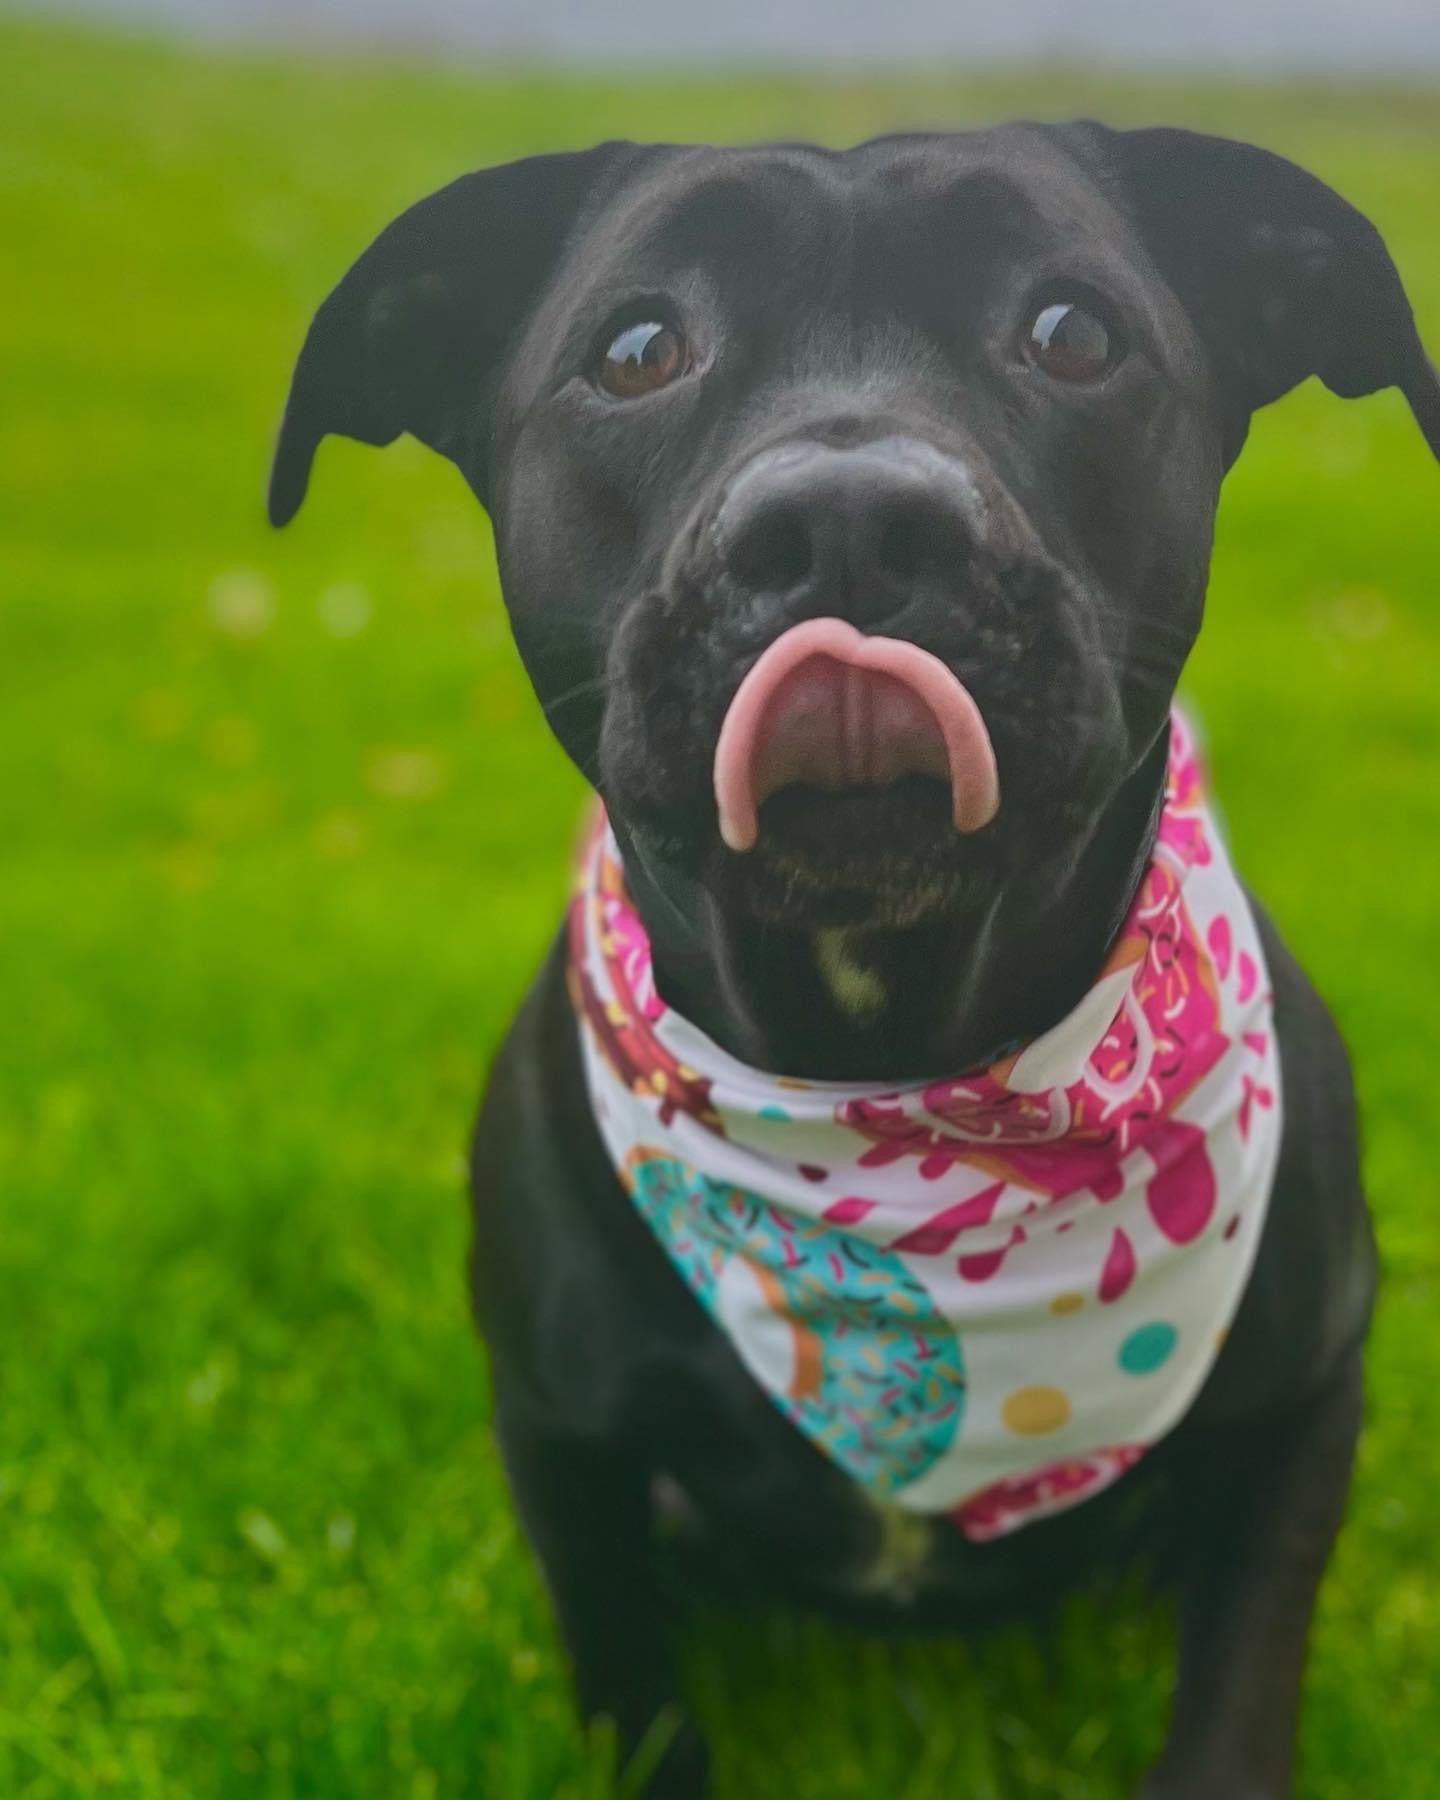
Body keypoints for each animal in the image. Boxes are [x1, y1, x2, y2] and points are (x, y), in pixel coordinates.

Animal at [270, 119, 1440, 1792]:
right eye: (637, 348)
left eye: (1073, 331)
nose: (847, 519)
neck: (885, 1082)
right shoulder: (568, 1444)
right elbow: (639, 1703)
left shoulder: (1297, 1411)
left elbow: (1232, 1703)